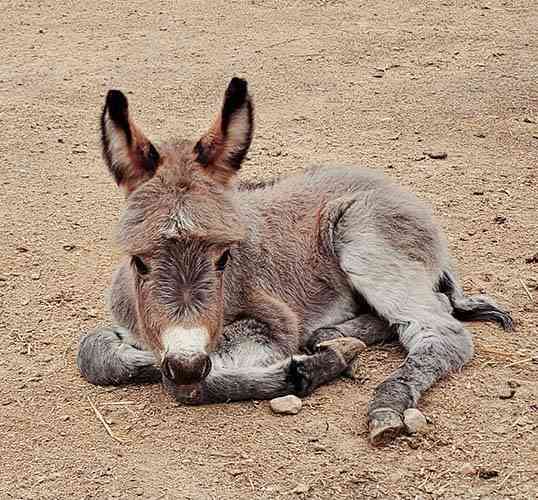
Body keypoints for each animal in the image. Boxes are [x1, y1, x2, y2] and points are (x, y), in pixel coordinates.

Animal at [76, 78, 510, 446]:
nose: (186, 364)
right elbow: (93, 353)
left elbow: (189, 381)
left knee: (442, 330)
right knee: (428, 307)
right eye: (138, 262)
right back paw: (332, 336)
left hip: (362, 237)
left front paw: (304, 370)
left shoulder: (272, 323)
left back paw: (385, 403)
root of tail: (388, 185)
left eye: (224, 258)